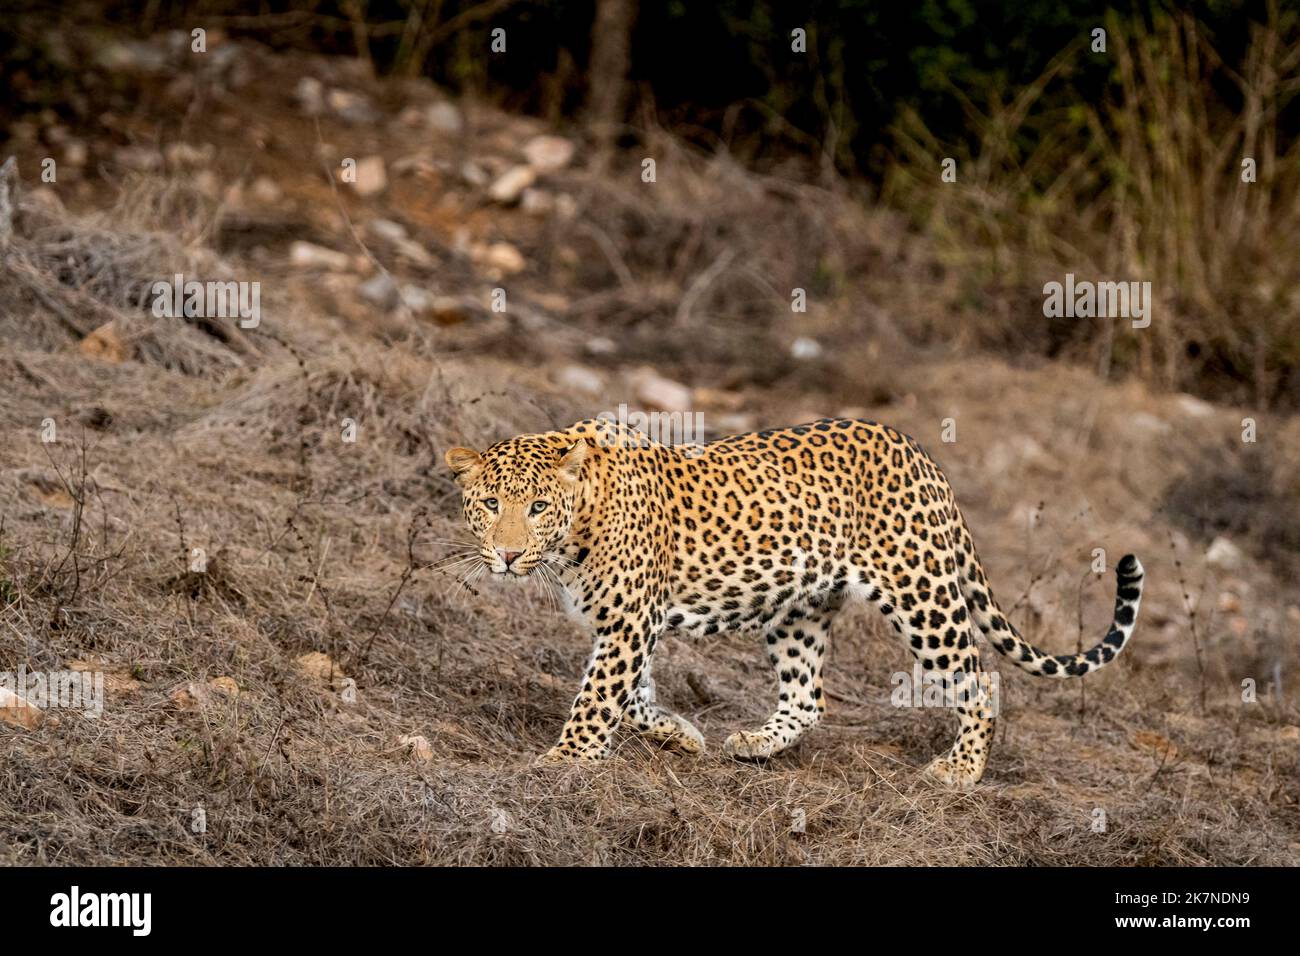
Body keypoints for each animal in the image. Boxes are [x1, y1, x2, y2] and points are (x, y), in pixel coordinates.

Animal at [447, 416, 1149, 790]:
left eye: (538, 507)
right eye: (491, 504)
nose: (507, 555)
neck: (575, 530)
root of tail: (921, 453)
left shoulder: (627, 623)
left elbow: (597, 698)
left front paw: (564, 761)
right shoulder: (625, 628)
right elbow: (633, 696)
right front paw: (681, 736)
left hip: (921, 592)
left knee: (979, 676)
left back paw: (960, 770)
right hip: (801, 608)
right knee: (808, 698)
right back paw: (756, 743)